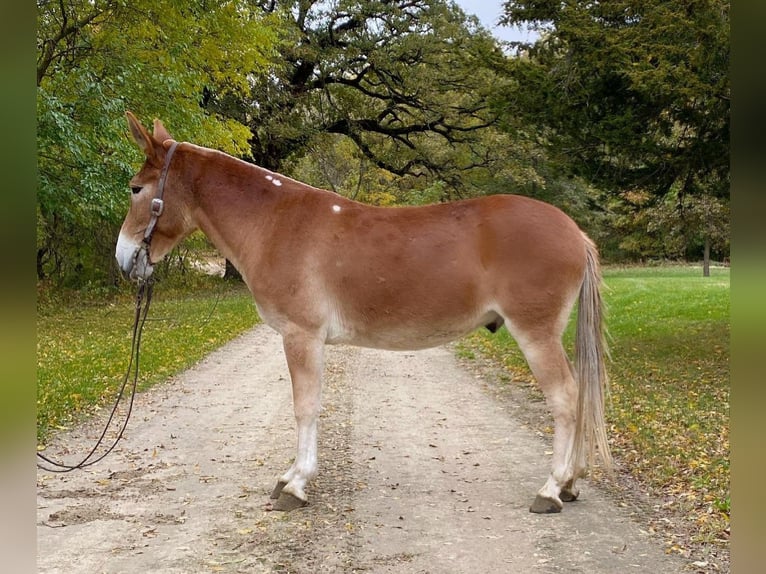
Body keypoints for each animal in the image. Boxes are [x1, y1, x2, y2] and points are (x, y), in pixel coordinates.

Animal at [117, 110, 616, 516]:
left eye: (136, 189)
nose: (123, 259)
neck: (275, 222)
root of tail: (574, 232)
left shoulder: (301, 335)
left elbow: (305, 406)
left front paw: (296, 484)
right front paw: (291, 476)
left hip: (536, 333)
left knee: (565, 399)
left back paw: (552, 489)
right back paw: (570, 484)